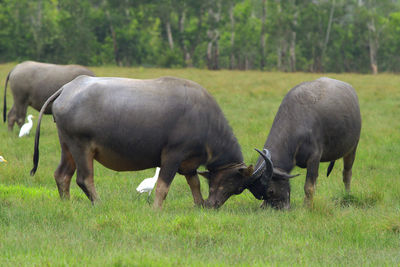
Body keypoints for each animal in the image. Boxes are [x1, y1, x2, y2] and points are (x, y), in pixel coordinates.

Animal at [28, 75, 260, 209]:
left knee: (62, 175)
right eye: (236, 186)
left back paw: (66, 203)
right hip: (81, 147)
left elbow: (194, 184)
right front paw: (156, 209)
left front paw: (199, 203)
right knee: (84, 179)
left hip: (66, 146)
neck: (205, 119)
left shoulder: (189, 163)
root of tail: (67, 88)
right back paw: (99, 204)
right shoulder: (173, 155)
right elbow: (162, 187)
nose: (213, 205)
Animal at [247, 77, 362, 209]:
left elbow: (309, 187)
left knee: (347, 173)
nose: (280, 208)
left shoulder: (314, 158)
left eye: (271, 191)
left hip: (352, 148)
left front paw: (307, 206)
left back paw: (347, 194)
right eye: (260, 196)